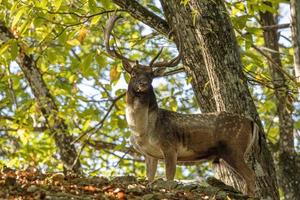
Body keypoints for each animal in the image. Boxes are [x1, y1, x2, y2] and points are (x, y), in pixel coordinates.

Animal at [103, 14, 258, 196]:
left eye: (151, 75)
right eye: (133, 73)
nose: (143, 84)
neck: (143, 131)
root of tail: (251, 122)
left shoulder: (170, 146)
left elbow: (169, 178)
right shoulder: (149, 154)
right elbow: (149, 179)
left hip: (233, 147)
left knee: (251, 176)